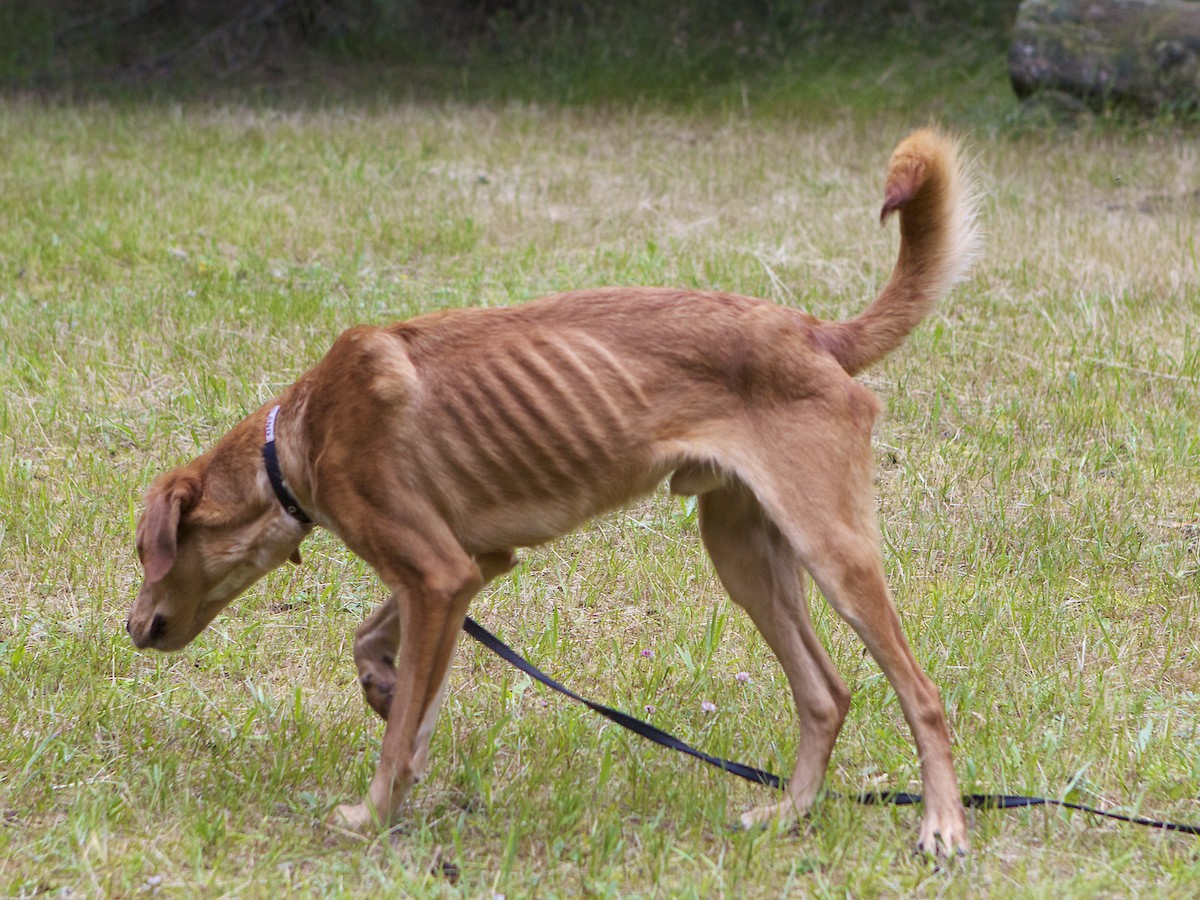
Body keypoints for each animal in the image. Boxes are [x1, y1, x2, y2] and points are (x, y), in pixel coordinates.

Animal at [128, 128, 979, 855]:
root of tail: (811, 331)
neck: (300, 436)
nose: (130, 628)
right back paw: (789, 813)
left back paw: (941, 823)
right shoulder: (469, 568)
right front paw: (384, 689)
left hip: (833, 553)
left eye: (145, 553)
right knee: (827, 694)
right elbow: (386, 665)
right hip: (744, 554)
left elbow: (399, 736)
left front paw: (373, 815)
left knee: (923, 695)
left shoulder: (438, 574)